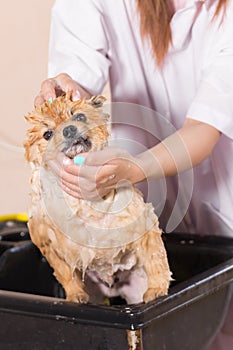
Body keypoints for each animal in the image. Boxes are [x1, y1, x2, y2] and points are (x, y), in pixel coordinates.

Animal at [23, 92, 171, 304]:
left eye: (79, 117)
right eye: (47, 134)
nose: (69, 129)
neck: (84, 203)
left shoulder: (143, 226)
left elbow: (155, 258)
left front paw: (157, 288)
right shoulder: (47, 243)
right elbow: (66, 274)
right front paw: (75, 295)